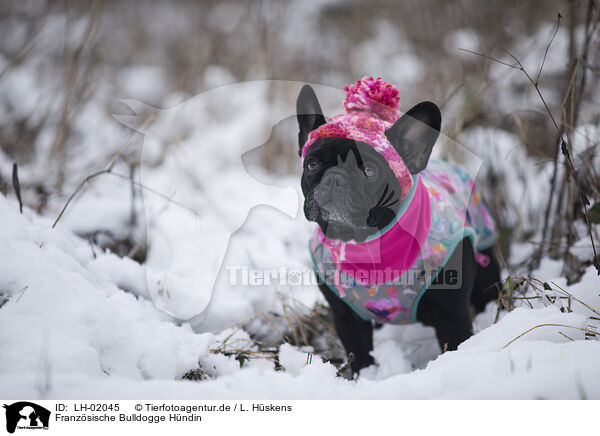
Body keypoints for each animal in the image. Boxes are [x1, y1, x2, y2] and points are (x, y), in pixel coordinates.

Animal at [296, 83, 502, 372]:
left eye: (369, 171)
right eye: (312, 164)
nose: (334, 179)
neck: (365, 242)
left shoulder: (452, 316)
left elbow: (455, 343)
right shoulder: (347, 318)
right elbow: (359, 355)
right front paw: (362, 376)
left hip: (486, 266)